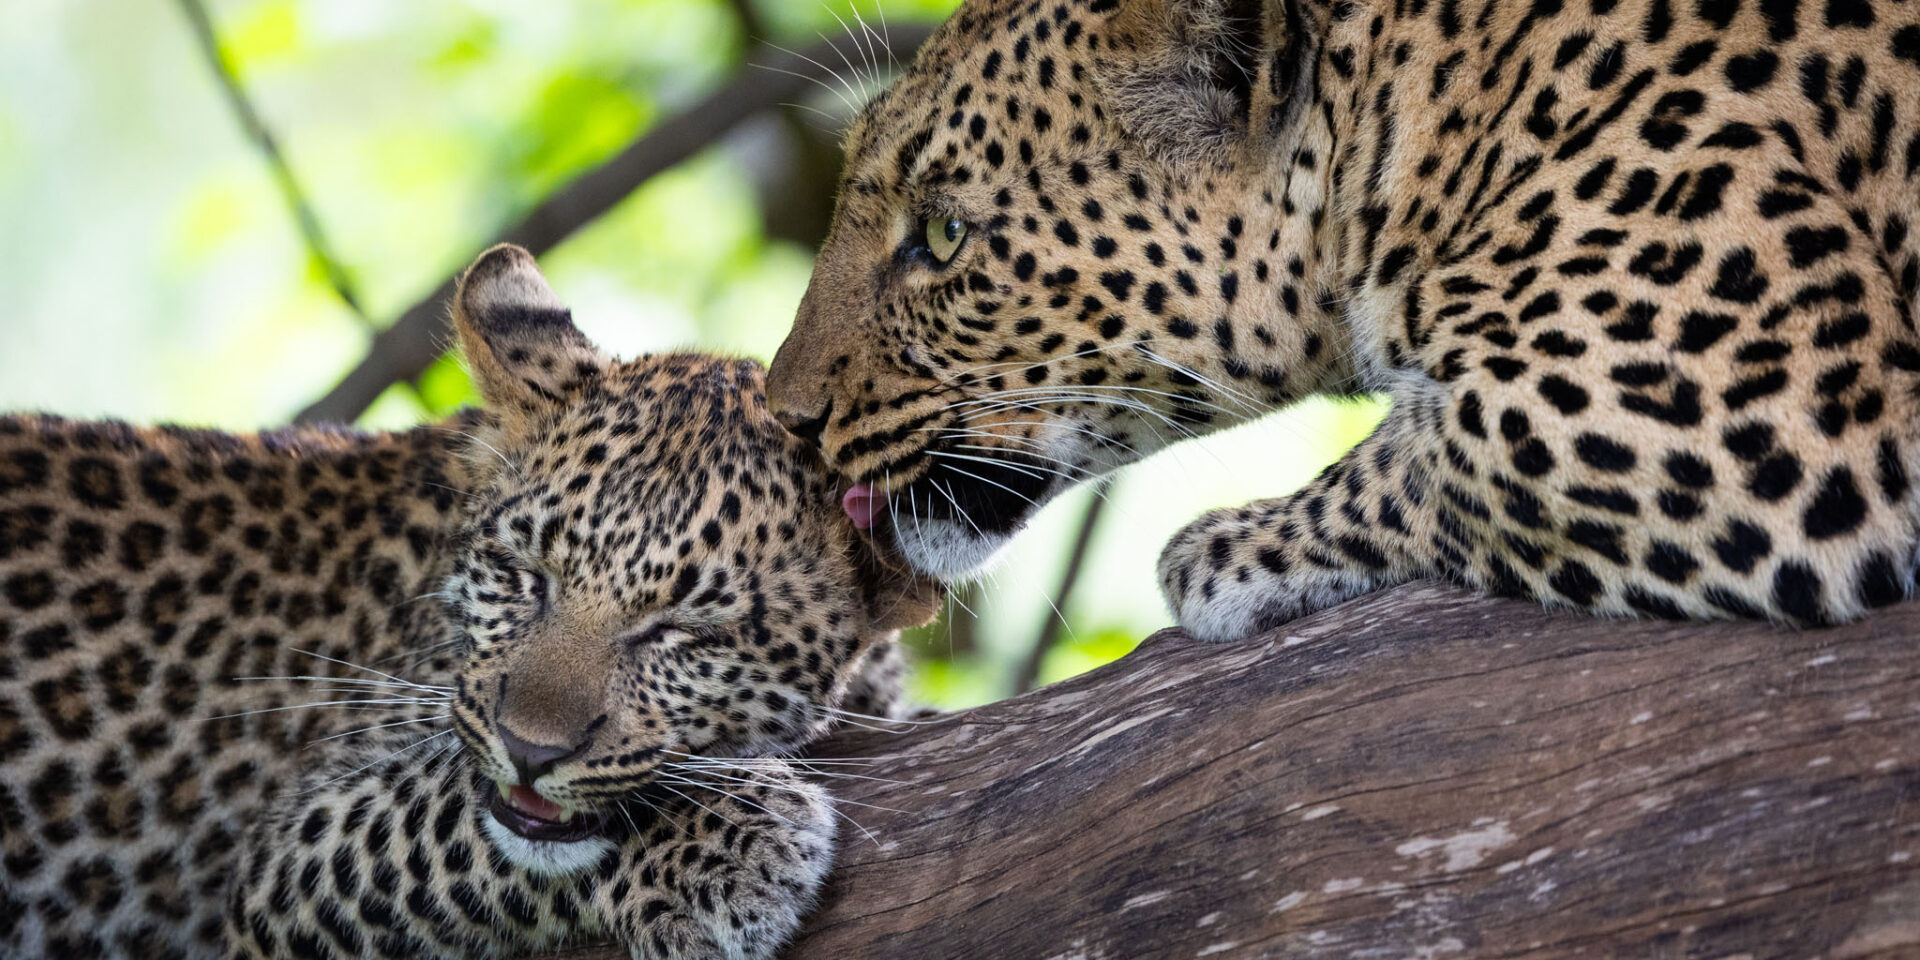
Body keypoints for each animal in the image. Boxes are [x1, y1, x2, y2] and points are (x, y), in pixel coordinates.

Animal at [0, 243, 935, 959]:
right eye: (524, 576)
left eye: (685, 634)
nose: (529, 751)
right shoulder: (282, 869)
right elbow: (445, 822)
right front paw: (729, 838)